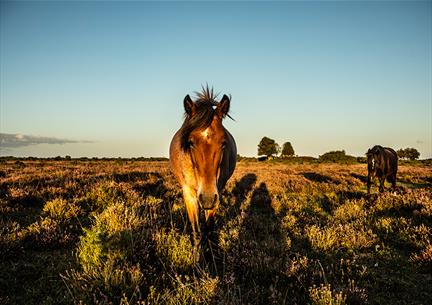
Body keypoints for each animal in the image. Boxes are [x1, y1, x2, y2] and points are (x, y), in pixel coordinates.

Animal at [169, 86, 236, 243]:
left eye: (224, 143)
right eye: (190, 142)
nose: (207, 198)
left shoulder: (217, 193)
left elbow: (209, 228)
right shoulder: (189, 194)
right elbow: (197, 232)